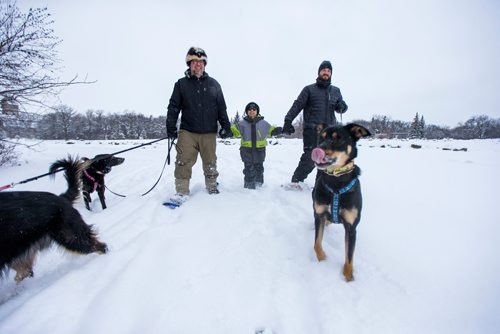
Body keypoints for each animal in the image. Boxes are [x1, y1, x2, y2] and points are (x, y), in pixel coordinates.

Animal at [308, 124, 372, 280]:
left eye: (338, 139)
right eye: (321, 137)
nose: (317, 149)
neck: (336, 181)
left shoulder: (351, 227)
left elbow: (349, 258)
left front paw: (348, 278)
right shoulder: (319, 214)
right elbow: (316, 243)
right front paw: (322, 259)